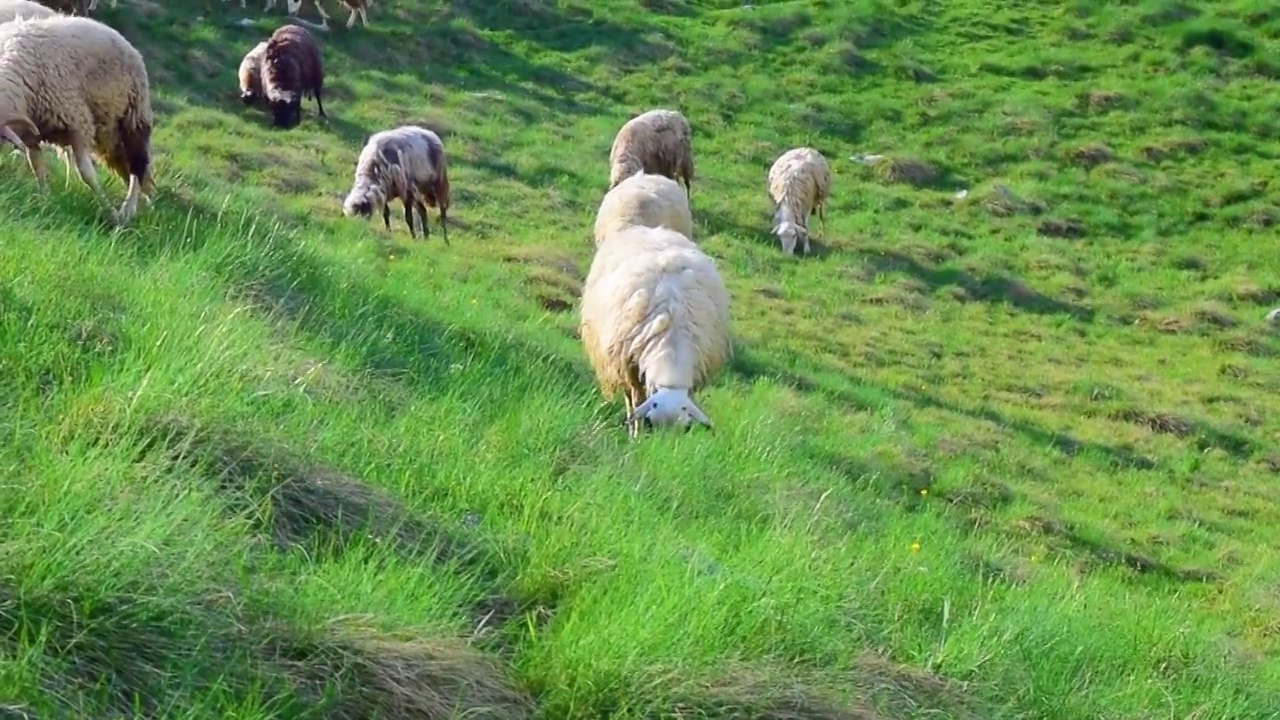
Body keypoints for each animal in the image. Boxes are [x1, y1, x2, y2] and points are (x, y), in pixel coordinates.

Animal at [0, 14, 156, 224]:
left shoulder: (78, 124)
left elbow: (86, 174)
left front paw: (109, 211)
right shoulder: (31, 134)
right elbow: (37, 166)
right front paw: (45, 199)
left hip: (133, 117)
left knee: (137, 166)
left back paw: (126, 211)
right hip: (110, 134)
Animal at [578, 224, 732, 435]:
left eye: (684, 431)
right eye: (651, 423)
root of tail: (651, 229)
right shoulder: (630, 365)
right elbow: (636, 400)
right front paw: (636, 434)